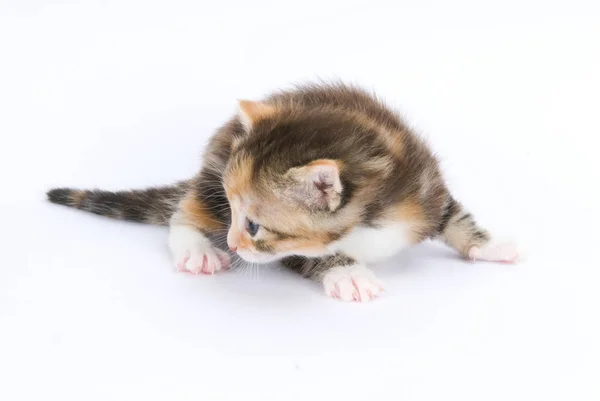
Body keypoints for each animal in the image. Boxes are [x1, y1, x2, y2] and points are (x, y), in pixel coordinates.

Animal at [47, 83, 516, 302]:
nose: (235, 241)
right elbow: (318, 256)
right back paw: (197, 249)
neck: (369, 217)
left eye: (254, 225)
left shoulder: (422, 188)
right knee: (184, 208)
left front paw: (490, 244)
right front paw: (348, 273)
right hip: (210, 177)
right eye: (237, 214)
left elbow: (456, 218)